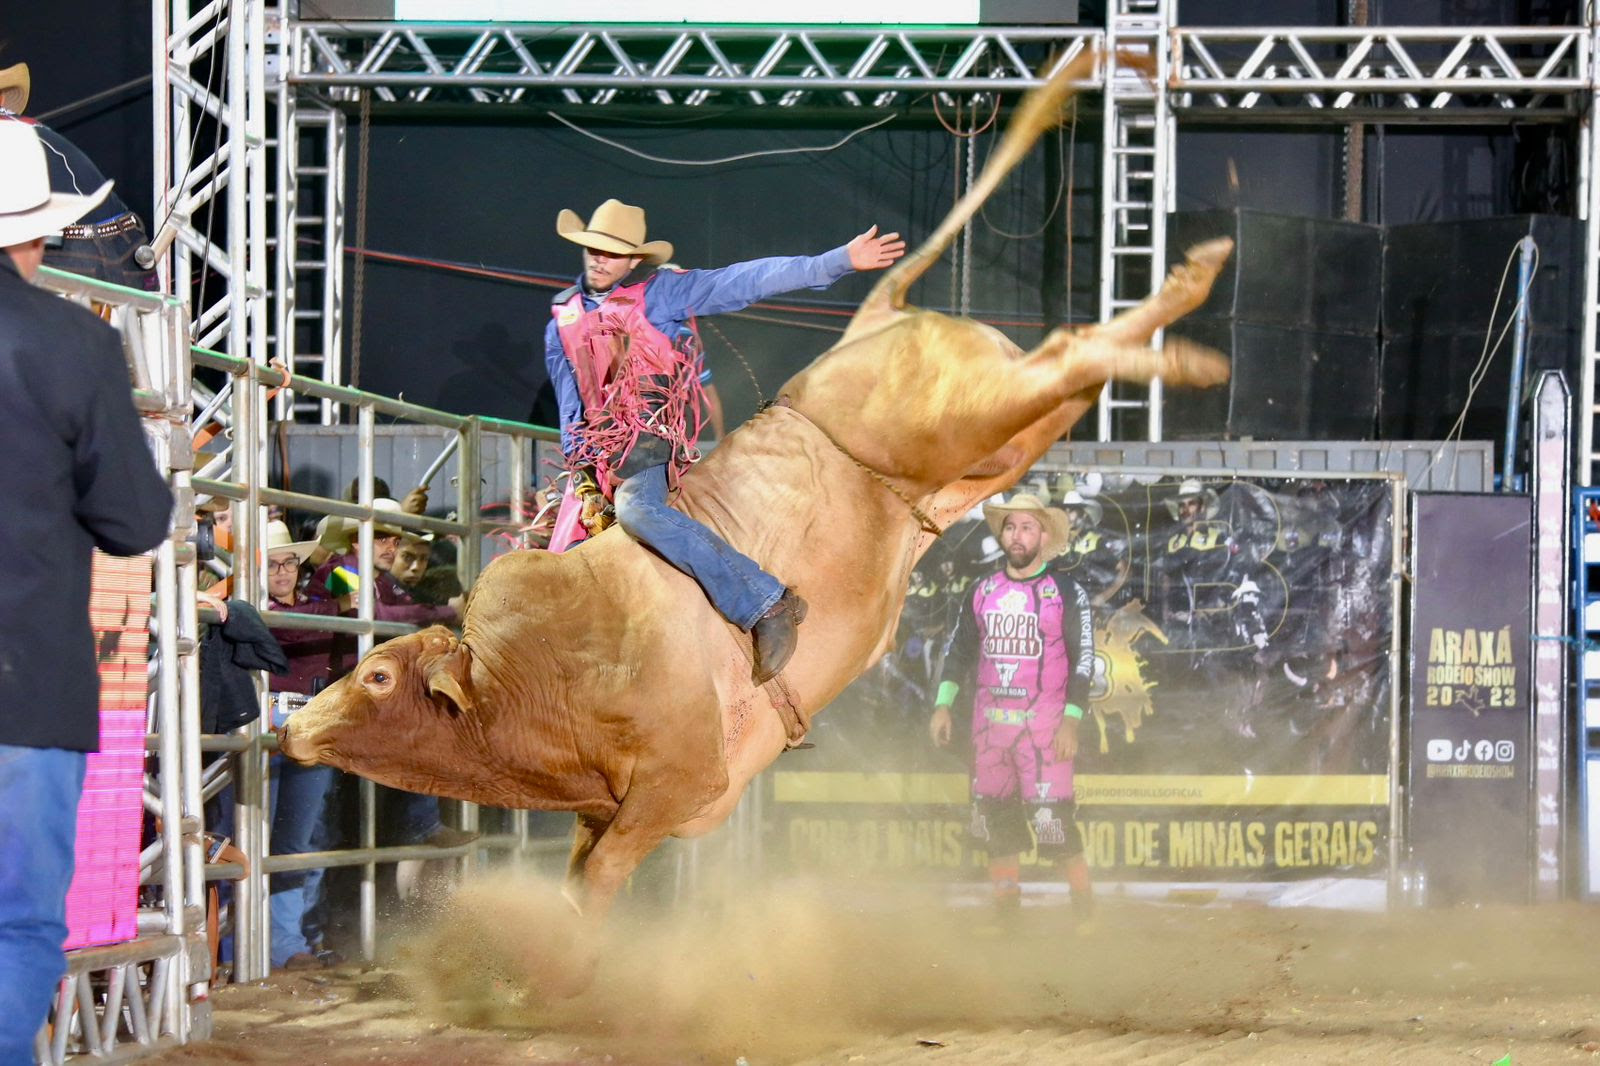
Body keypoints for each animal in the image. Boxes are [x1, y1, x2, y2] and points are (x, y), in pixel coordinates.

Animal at [278, 45, 1222, 960]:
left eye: (376, 673)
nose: (290, 729)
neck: (535, 673)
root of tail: (874, 322)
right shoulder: (605, 808)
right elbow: (586, 873)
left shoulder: (677, 784)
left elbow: (599, 879)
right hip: (985, 456)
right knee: (1071, 366)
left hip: (960, 418)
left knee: (1070, 352)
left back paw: (1194, 315)